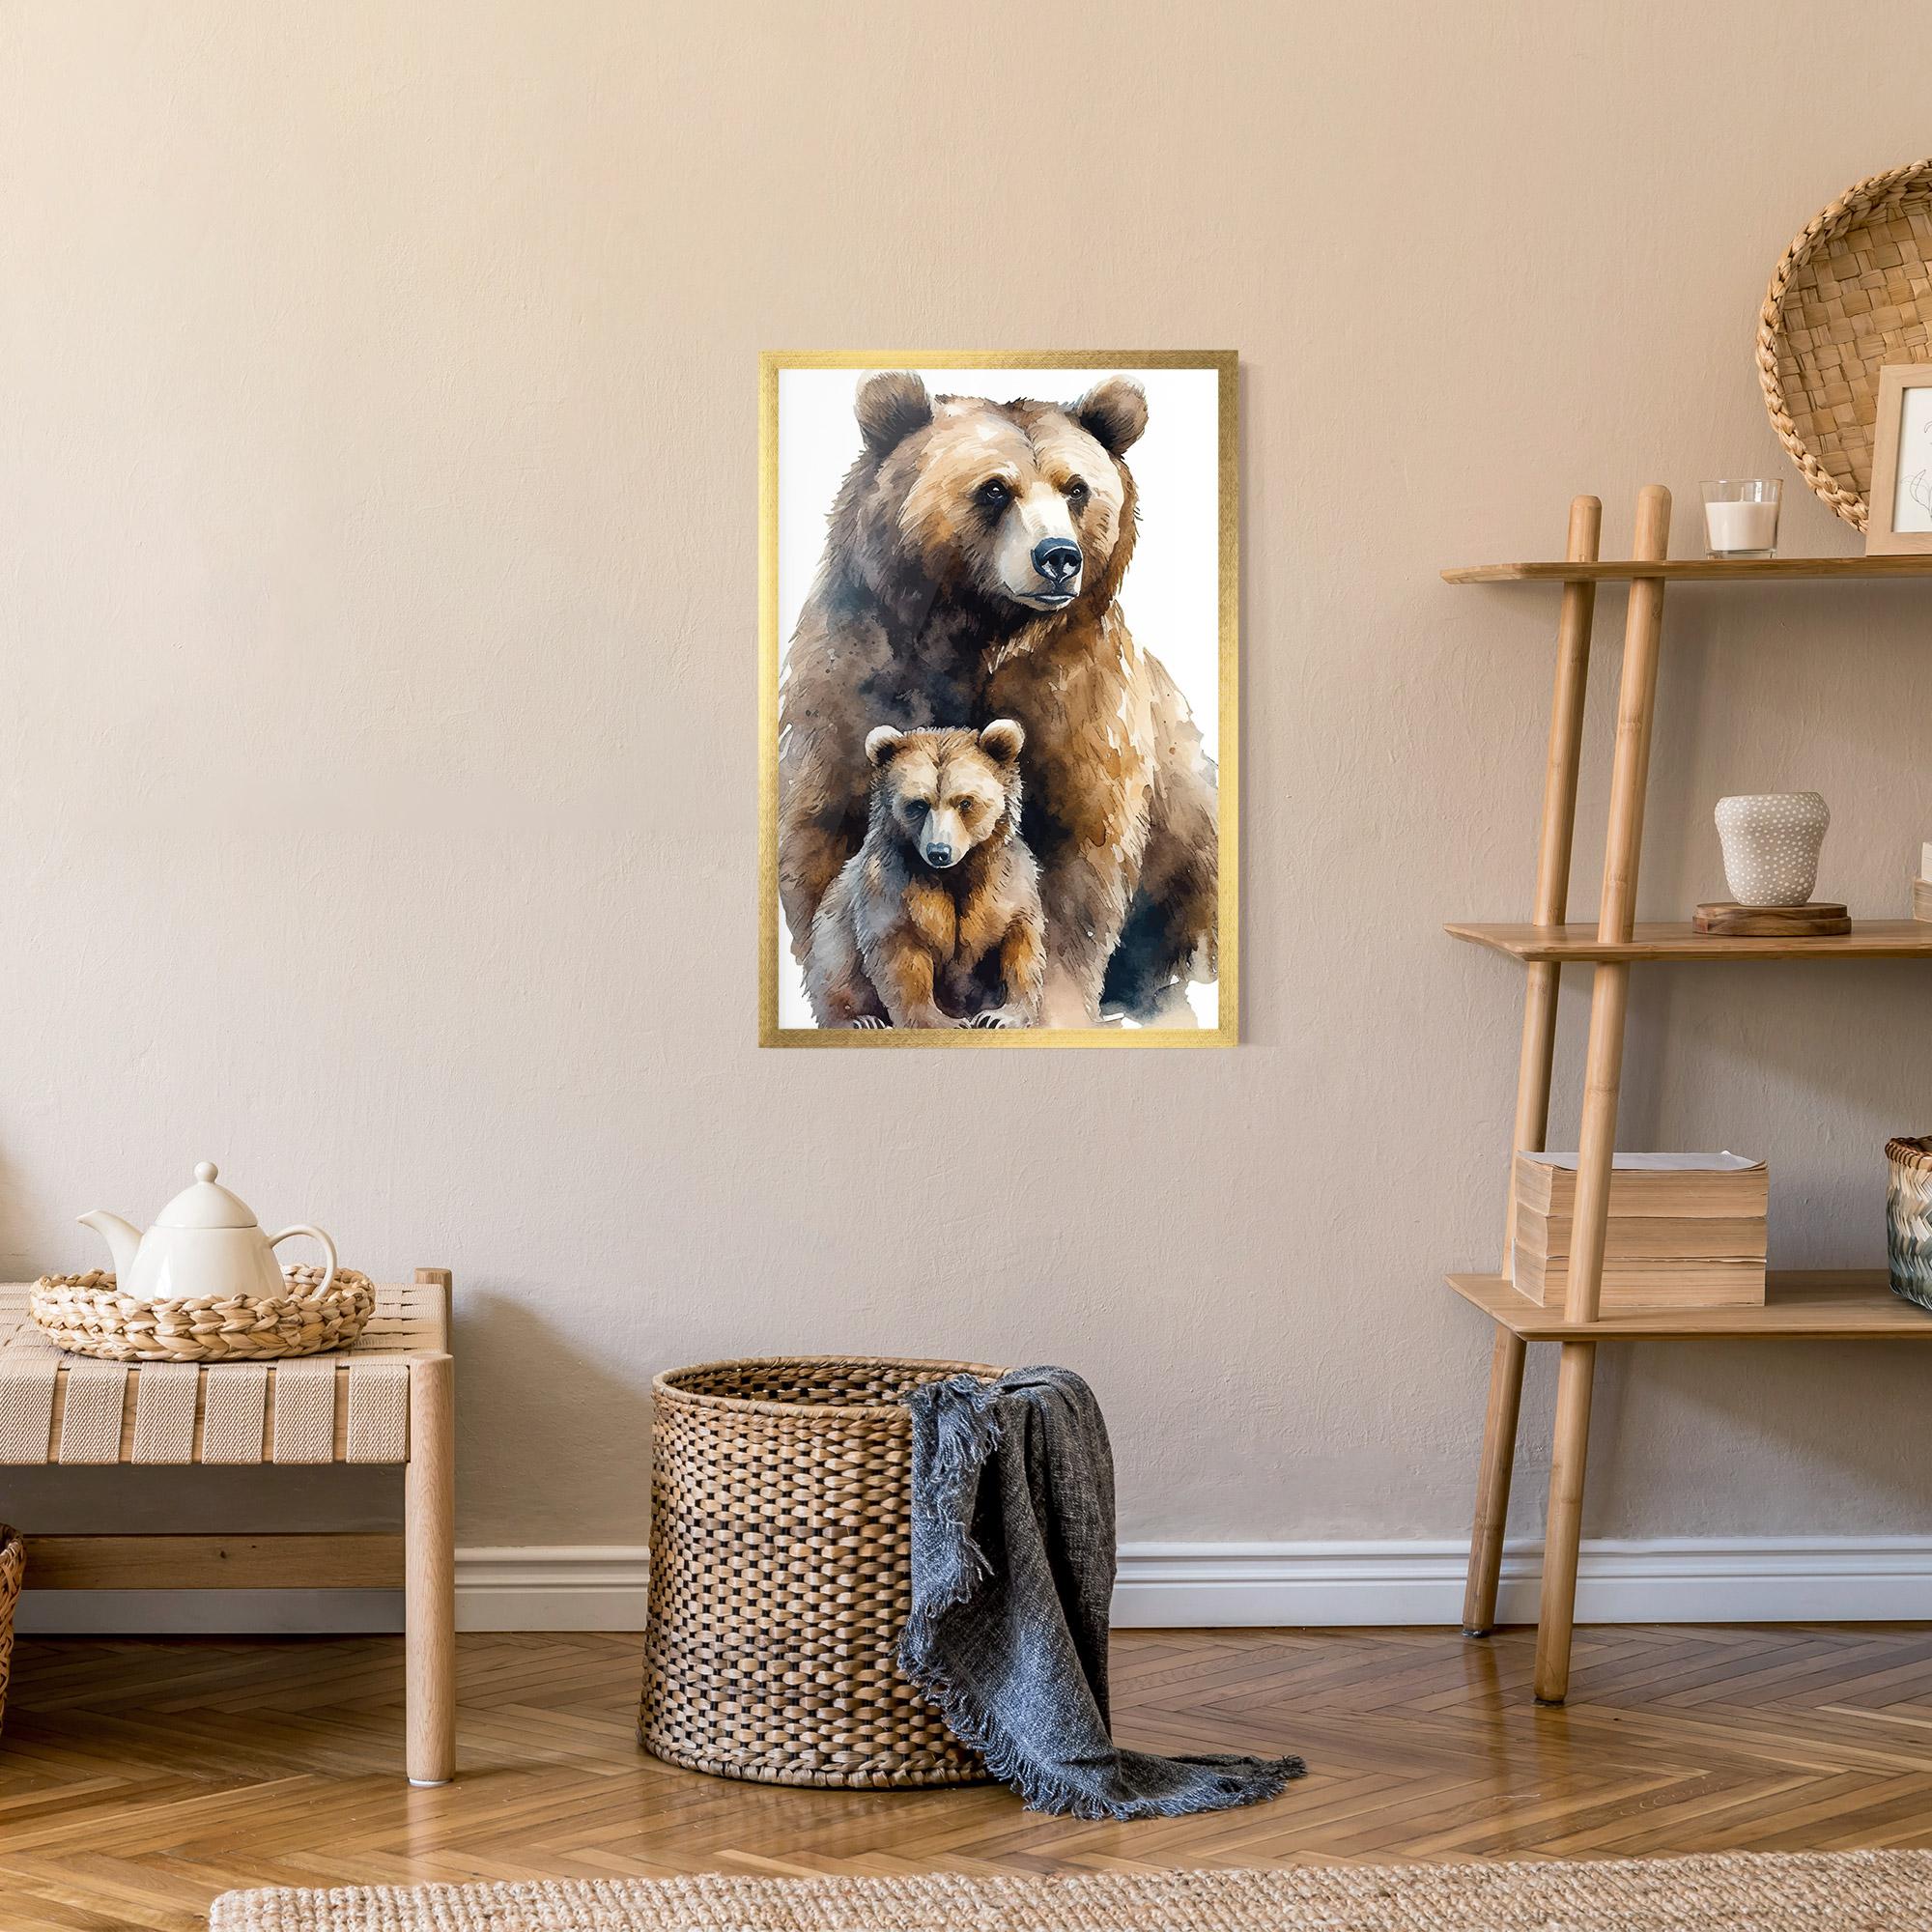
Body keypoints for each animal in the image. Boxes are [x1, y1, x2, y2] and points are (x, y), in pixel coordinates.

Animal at [804, 719, 1044, 1030]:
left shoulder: (1006, 883)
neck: (955, 873)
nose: (939, 851)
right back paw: (859, 1019)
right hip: (832, 926)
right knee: (834, 966)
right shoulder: (891, 886)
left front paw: (1000, 1015)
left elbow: (1020, 944)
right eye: (918, 804)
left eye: (965, 802)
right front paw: (942, 1021)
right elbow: (902, 956)